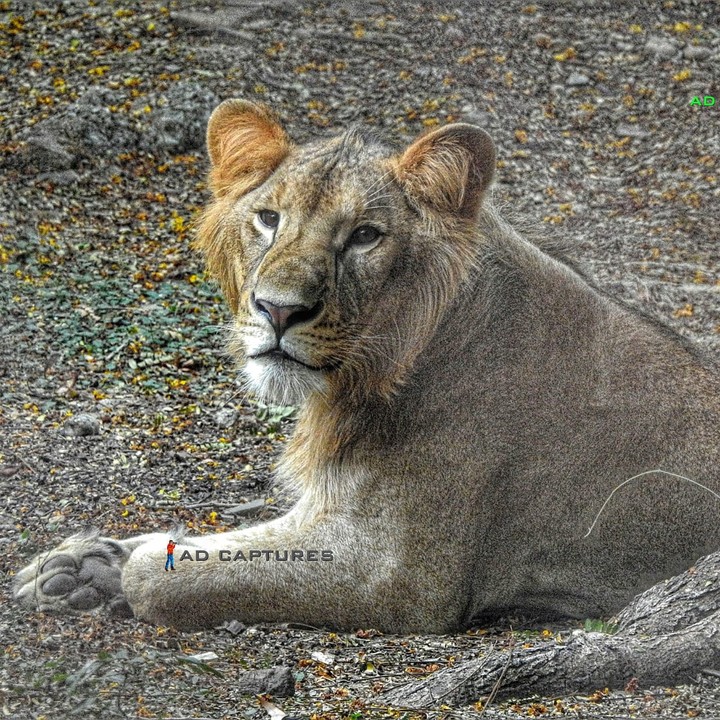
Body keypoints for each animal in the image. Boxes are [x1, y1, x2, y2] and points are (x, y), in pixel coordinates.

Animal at [14, 99, 720, 633]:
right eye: (267, 218)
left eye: (364, 236)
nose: (278, 310)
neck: (370, 379)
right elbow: (209, 538)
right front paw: (81, 564)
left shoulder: (393, 575)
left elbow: (170, 574)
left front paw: (118, 572)